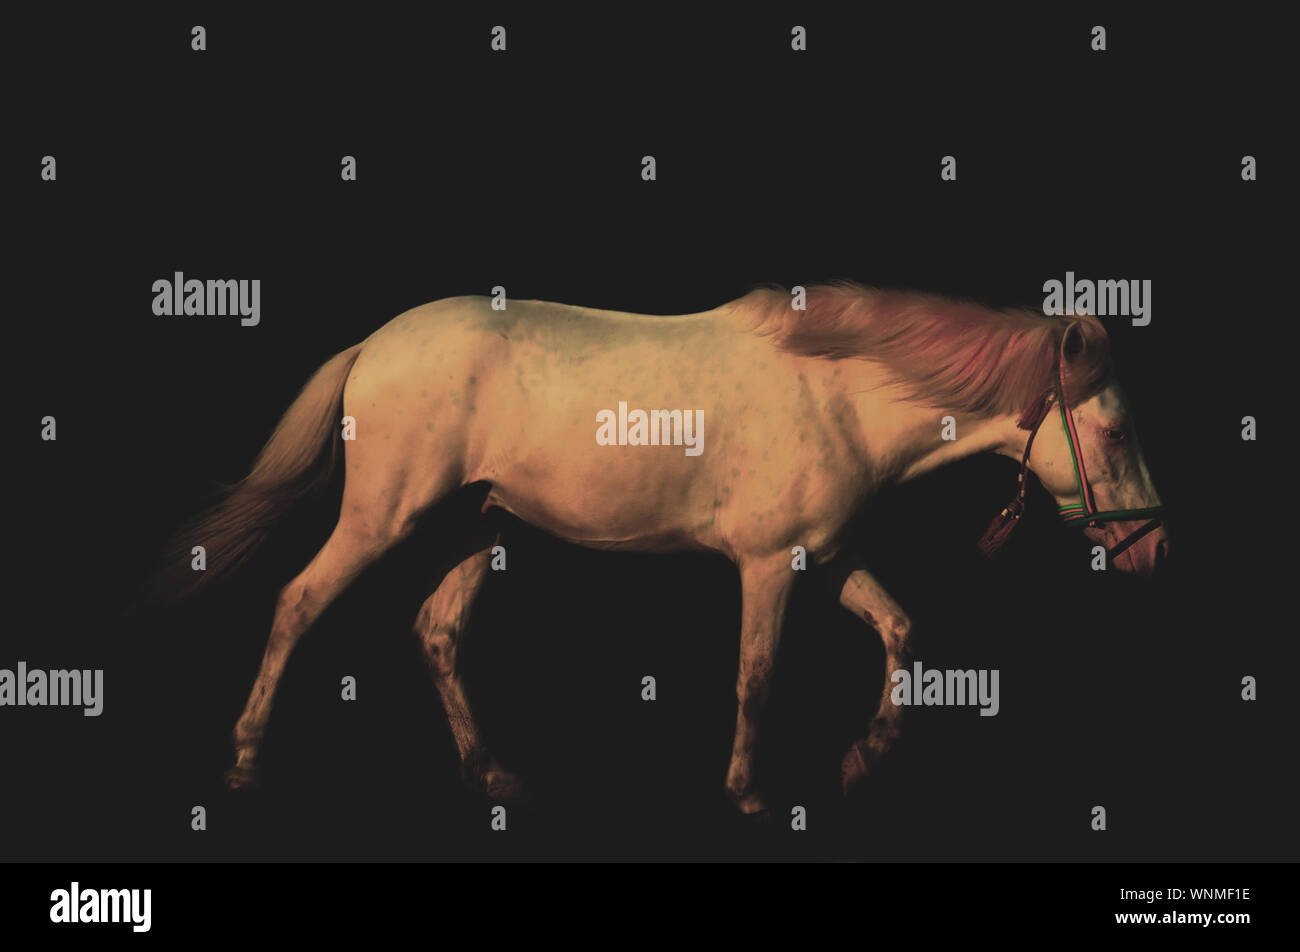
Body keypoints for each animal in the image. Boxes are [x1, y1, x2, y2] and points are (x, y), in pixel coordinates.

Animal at [159, 281, 1168, 816]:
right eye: (1117, 431)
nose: (1148, 549)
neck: (837, 396)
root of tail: (374, 343)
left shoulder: (827, 560)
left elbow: (902, 631)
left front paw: (860, 761)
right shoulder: (767, 567)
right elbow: (756, 674)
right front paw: (748, 791)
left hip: (477, 525)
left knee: (436, 633)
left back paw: (493, 773)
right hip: (382, 517)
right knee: (298, 602)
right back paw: (244, 763)